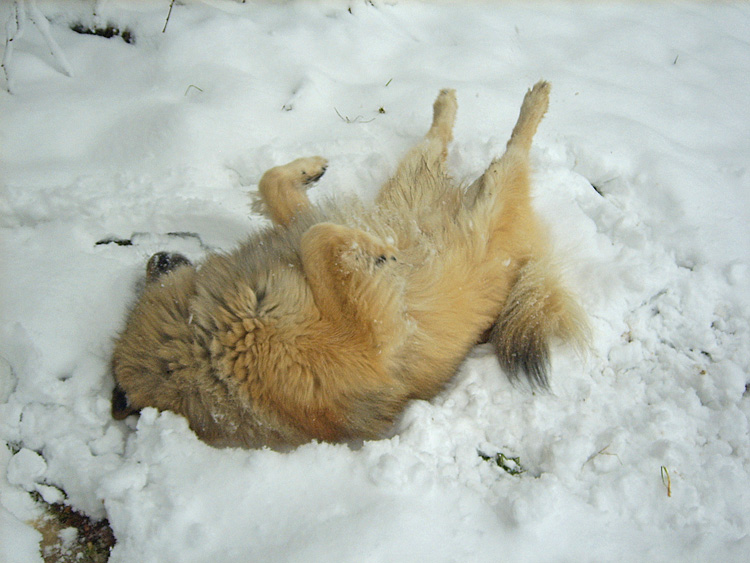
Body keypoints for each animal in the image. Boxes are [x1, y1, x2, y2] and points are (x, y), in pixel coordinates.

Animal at [113, 82, 588, 450]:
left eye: (150, 277)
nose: (156, 257)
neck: (205, 337)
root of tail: (527, 259)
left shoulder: (295, 229)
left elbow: (276, 189)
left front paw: (308, 171)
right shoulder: (371, 342)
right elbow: (318, 240)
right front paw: (372, 248)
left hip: (410, 185)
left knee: (437, 143)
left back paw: (448, 102)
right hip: (489, 200)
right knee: (512, 150)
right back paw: (534, 100)